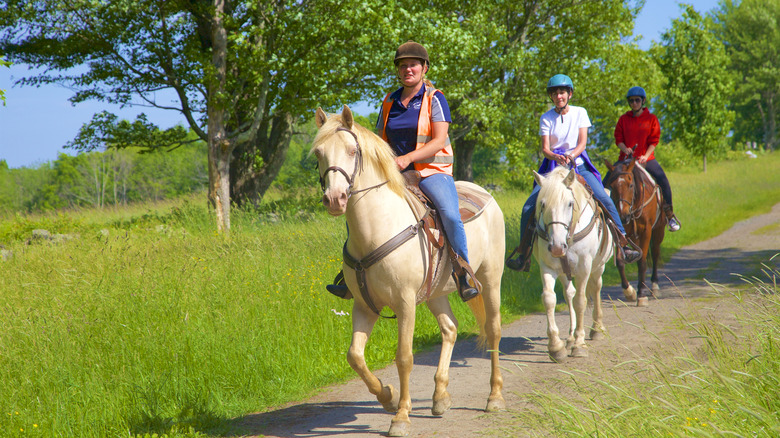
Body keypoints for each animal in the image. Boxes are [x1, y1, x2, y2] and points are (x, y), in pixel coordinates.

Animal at [312, 105, 506, 437]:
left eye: (352, 150)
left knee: (493, 331)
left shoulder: (404, 304)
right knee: (450, 329)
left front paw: (401, 416)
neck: (377, 228)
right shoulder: (364, 305)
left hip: (491, 280)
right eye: (318, 153)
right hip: (436, 293)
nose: (334, 199)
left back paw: (494, 397)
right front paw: (387, 397)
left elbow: (404, 357)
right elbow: (355, 356)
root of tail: (487, 195)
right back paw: (440, 397)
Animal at [532, 166, 613, 362]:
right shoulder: (548, 267)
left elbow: (581, 302)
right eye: (542, 204)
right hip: (564, 272)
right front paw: (556, 347)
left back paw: (596, 329)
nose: (556, 247)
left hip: (598, 267)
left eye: (569, 204)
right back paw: (569, 337)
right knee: (569, 293)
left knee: (596, 288)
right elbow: (549, 299)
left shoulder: (584, 267)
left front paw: (579, 345)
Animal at [604, 158, 666, 306]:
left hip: (658, 230)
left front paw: (641, 295)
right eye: (611, 186)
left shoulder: (646, 231)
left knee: (655, 253)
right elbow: (620, 261)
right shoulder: (621, 231)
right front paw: (629, 292)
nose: (623, 215)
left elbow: (642, 261)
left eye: (630, 185)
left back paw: (655, 286)